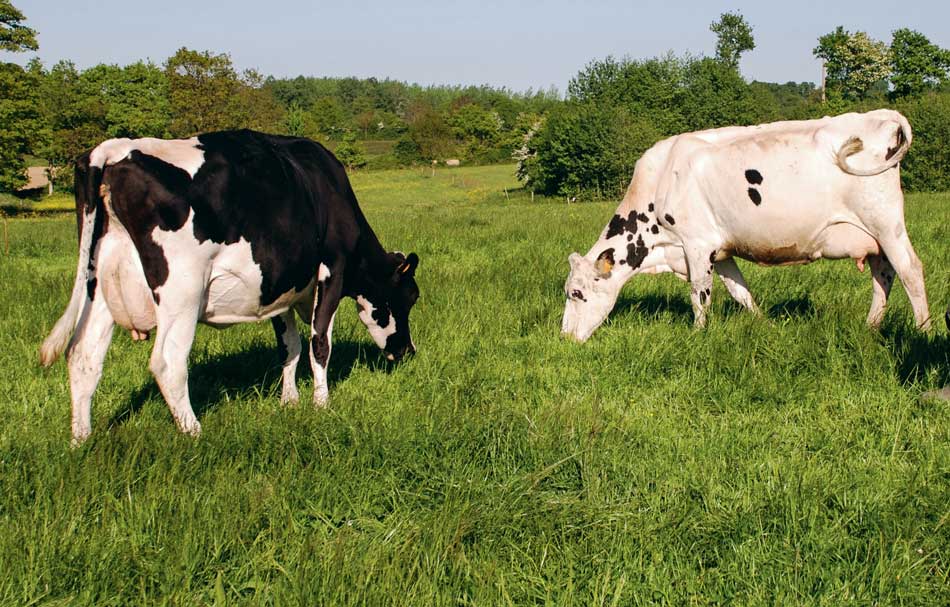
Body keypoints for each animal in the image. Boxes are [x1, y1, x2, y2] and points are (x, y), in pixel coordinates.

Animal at [41, 129, 420, 442]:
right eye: (410, 297)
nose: (408, 351)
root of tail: (113, 150)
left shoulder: (279, 287)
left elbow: (289, 346)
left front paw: (289, 401)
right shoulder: (332, 270)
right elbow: (319, 344)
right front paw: (321, 404)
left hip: (98, 286)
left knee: (83, 356)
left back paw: (81, 440)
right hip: (182, 290)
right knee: (167, 361)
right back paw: (194, 432)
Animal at [560, 109, 932, 342]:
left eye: (576, 293)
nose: (565, 338)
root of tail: (881, 115)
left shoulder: (697, 244)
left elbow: (700, 295)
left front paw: (698, 335)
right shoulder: (721, 250)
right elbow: (741, 293)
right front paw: (765, 325)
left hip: (886, 223)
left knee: (910, 270)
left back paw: (924, 331)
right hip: (875, 238)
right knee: (884, 275)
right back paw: (871, 327)